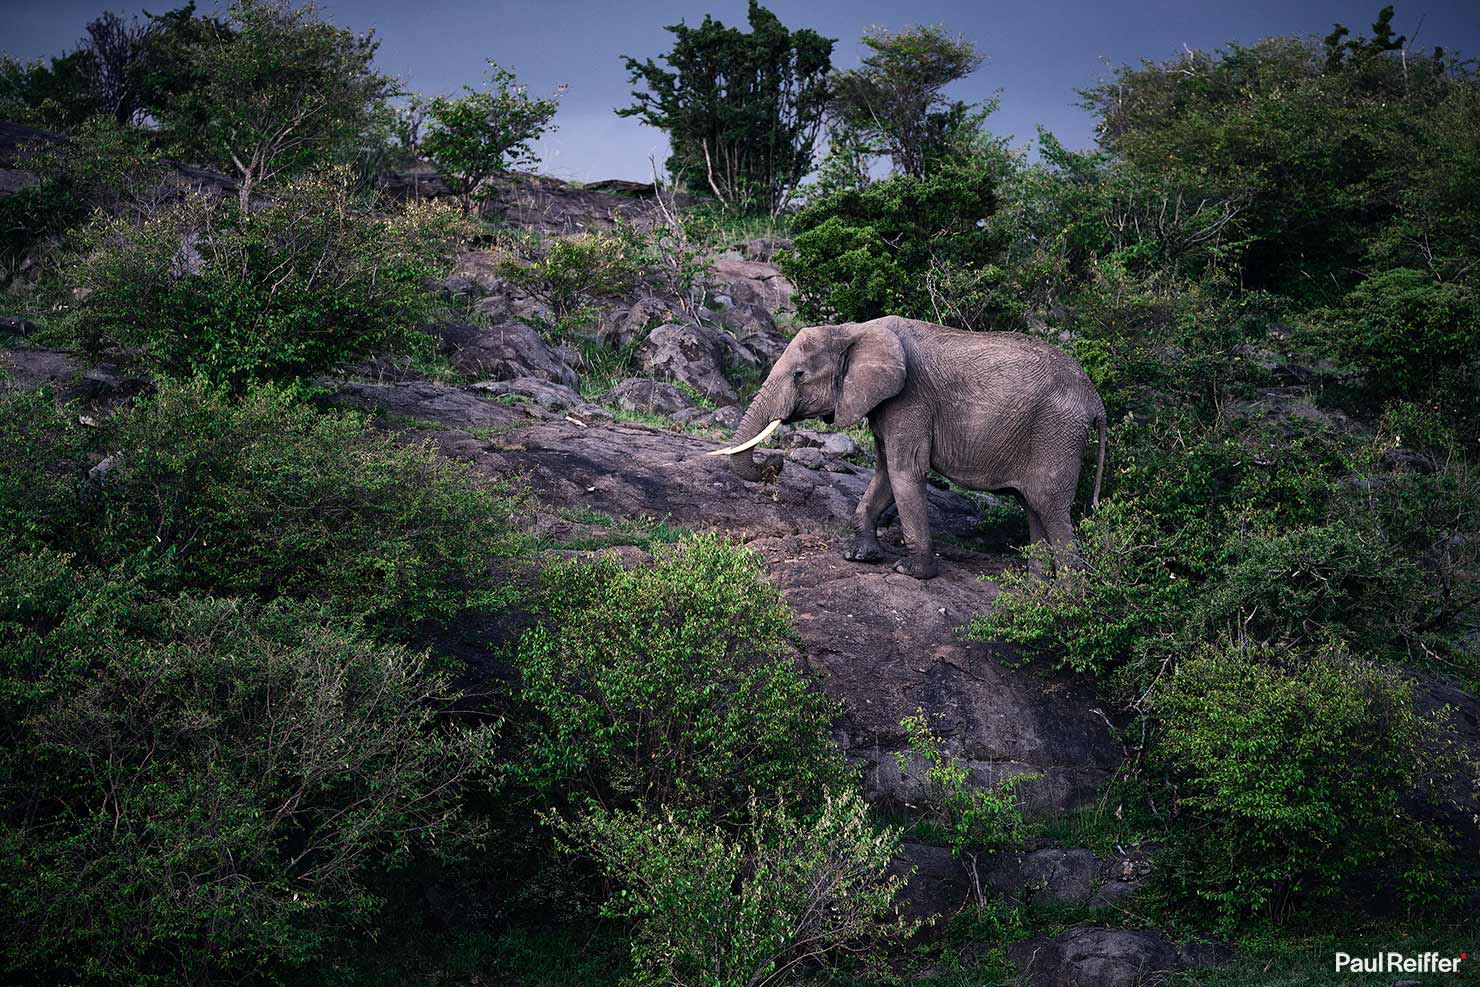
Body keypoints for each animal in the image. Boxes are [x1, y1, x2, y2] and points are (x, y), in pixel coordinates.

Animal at [709, 315, 1107, 579]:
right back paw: (1034, 590)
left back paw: (1066, 601)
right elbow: (885, 473)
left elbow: (905, 471)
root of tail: (1095, 400)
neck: (855, 329)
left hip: (1057, 434)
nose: (775, 463)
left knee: (1050, 507)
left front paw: (911, 571)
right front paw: (859, 556)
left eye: (799, 375)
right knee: (1033, 507)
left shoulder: (910, 399)